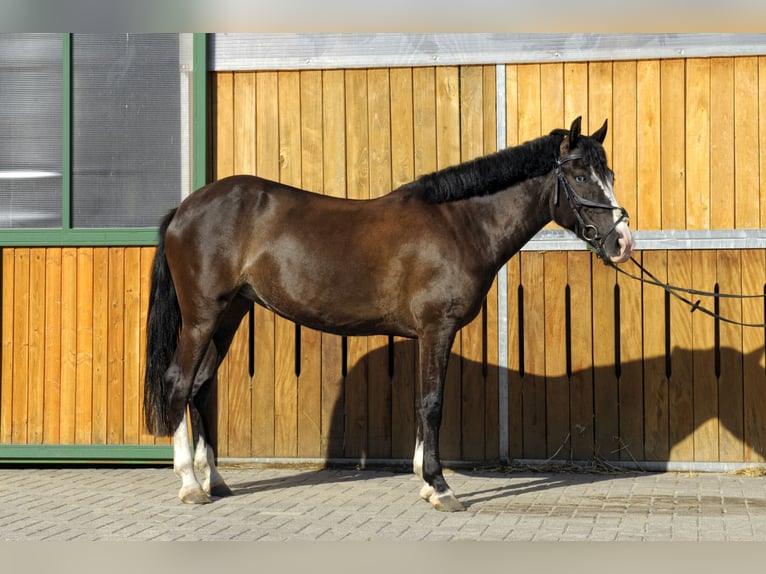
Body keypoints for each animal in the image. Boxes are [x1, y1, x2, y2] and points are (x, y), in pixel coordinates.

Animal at [143, 116, 635, 512]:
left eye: (609, 173)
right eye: (580, 175)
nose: (623, 242)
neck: (461, 224)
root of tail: (186, 208)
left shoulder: (426, 335)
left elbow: (421, 401)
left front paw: (424, 481)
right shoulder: (437, 328)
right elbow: (432, 403)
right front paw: (440, 488)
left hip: (231, 314)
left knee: (201, 387)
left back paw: (215, 480)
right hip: (203, 317)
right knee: (179, 383)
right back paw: (190, 484)